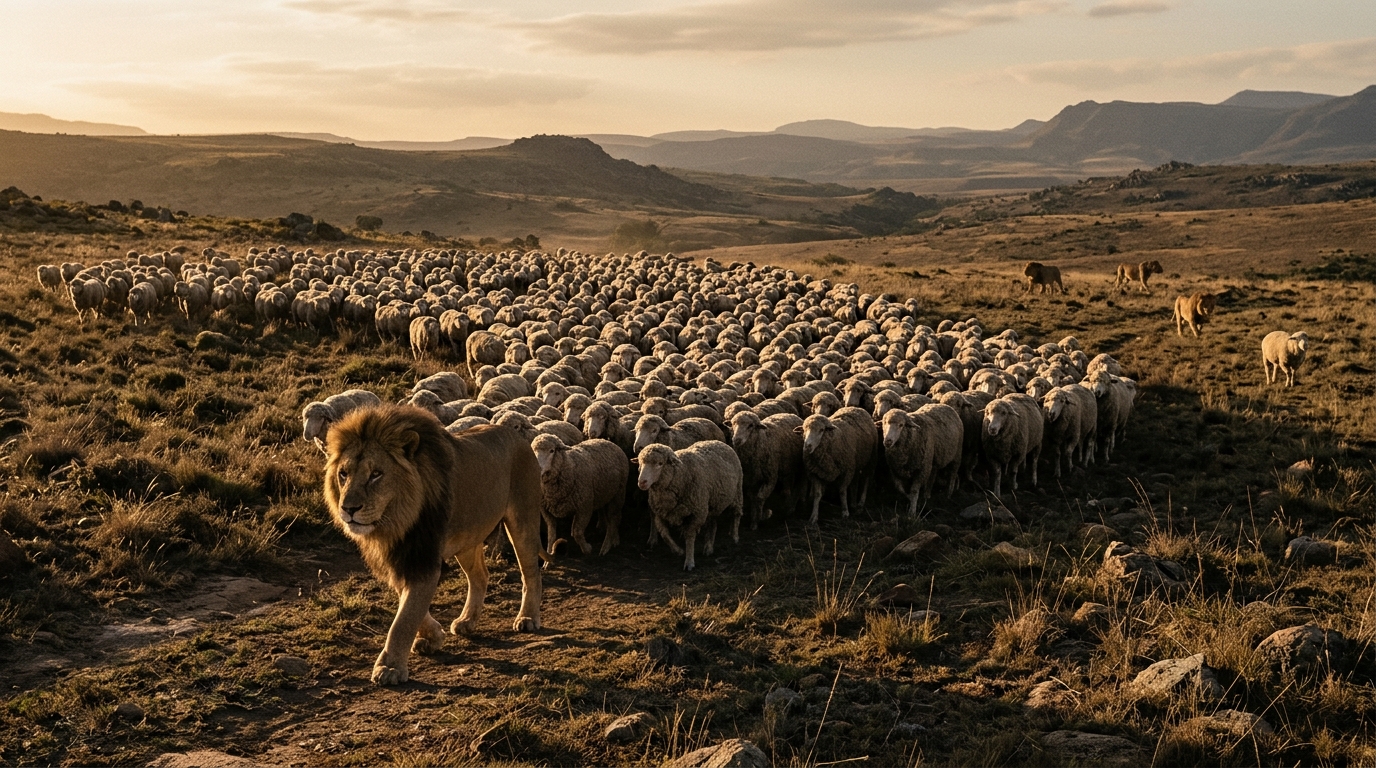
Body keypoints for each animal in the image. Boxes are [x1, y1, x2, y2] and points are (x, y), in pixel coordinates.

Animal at [324, 404, 545, 685]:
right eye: (343, 474)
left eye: (376, 474)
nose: (349, 509)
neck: (395, 523)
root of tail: (517, 436)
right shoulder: (401, 559)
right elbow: (411, 607)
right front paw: (433, 636)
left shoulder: (423, 558)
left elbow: (403, 620)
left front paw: (389, 667)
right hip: (467, 538)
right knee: (480, 576)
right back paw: (467, 620)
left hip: (522, 521)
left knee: (531, 573)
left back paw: (528, 617)